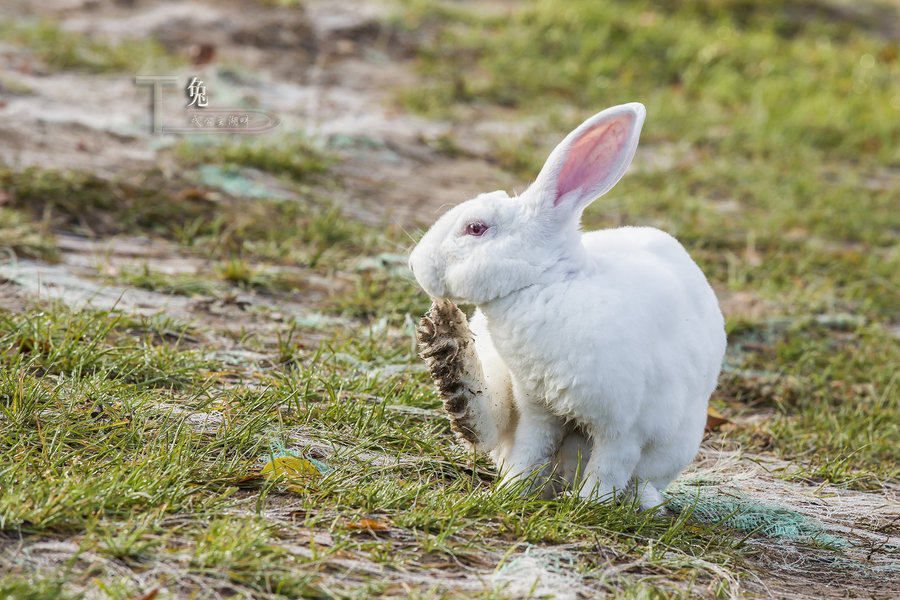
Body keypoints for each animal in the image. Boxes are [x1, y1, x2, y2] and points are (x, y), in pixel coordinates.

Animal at [412, 104, 728, 510]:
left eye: (476, 228)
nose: (415, 264)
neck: (548, 283)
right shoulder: (537, 407)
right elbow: (529, 452)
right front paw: (510, 493)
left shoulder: (623, 426)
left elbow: (609, 468)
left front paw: (590, 505)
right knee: (490, 427)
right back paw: (449, 367)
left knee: (634, 480)